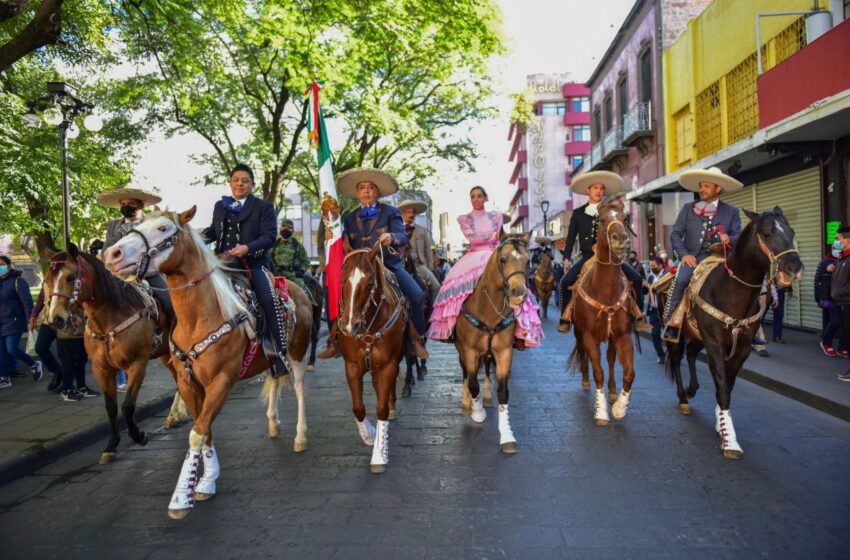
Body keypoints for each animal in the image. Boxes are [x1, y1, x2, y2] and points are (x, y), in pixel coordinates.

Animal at [43, 245, 187, 464]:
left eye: (70, 277)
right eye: (47, 280)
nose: (56, 319)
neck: (110, 319)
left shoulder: (137, 365)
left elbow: (127, 406)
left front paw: (139, 436)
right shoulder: (102, 369)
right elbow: (111, 407)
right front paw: (111, 446)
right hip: (165, 354)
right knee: (179, 379)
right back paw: (175, 415)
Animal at [336, 245, 406, 472]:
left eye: (368, 284)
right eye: (343, 281)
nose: (350, 326)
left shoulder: (388, 365)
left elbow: (381, 408)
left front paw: (379, 453)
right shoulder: (351, 366)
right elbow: (358, 407)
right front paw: (368, 435)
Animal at [454, 232, 528, 456]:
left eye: (528, 261)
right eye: (503, 259)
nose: (518, 293)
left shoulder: (503, 352)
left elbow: (503, 392)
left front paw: (507, 436)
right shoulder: (469, 351)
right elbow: (472, 384)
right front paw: (477, 412)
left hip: (487, 355)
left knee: (485, 370)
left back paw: (485, 397)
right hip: (462, 351)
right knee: (467, 375)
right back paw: (467, 402)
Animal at [568, 197, 640, 424]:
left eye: (625, 218)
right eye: (601, 220)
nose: (620, 238)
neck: (605, 291)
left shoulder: (623, 335)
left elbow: (629, 373)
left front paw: (619, 408)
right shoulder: (588, 335)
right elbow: (597, 371)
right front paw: (601, 412)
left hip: (610, 337)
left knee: (609, 359)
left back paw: (613, 392)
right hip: (579, 334)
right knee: (584, 355)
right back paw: (585, 380)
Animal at [656, 209, 800, 460]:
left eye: (791, 232)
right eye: (767, 233)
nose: (794, 267)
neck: (732, 292)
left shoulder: (741, 348)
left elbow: (728, 385)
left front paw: (721, 425)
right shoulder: (714, 344)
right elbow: (723, 388)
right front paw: (730, 440)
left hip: (697, 335)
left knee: (691, 353)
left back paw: (692, 389)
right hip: (675, 333)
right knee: (676, 359)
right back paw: (683, 398)